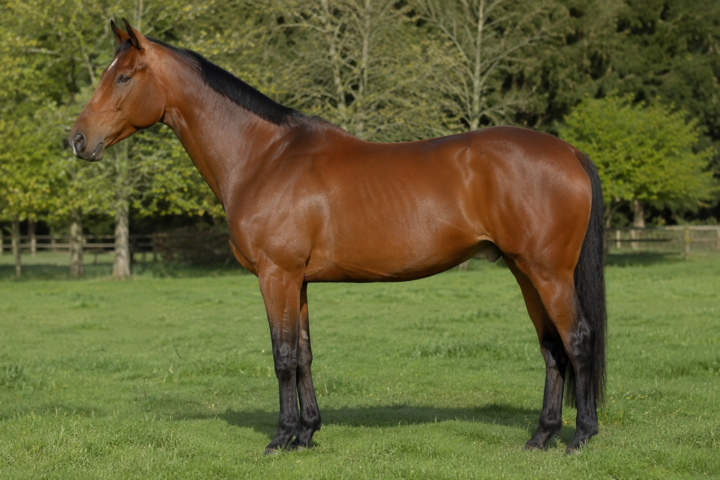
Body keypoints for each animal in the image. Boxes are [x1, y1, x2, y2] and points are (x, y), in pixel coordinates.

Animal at [70, 19, 606, 455]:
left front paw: (282, 437)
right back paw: (541, 436)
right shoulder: (299, 281)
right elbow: (305, 354)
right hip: (525, 271)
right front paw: (308, 432)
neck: (263, 157)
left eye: (123, 76)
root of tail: (569, 152)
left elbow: (283, 355)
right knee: (552, 348)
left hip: (548, 273)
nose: (76, 139)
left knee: (577, 340)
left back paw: (581, 436)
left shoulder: (276, 276)